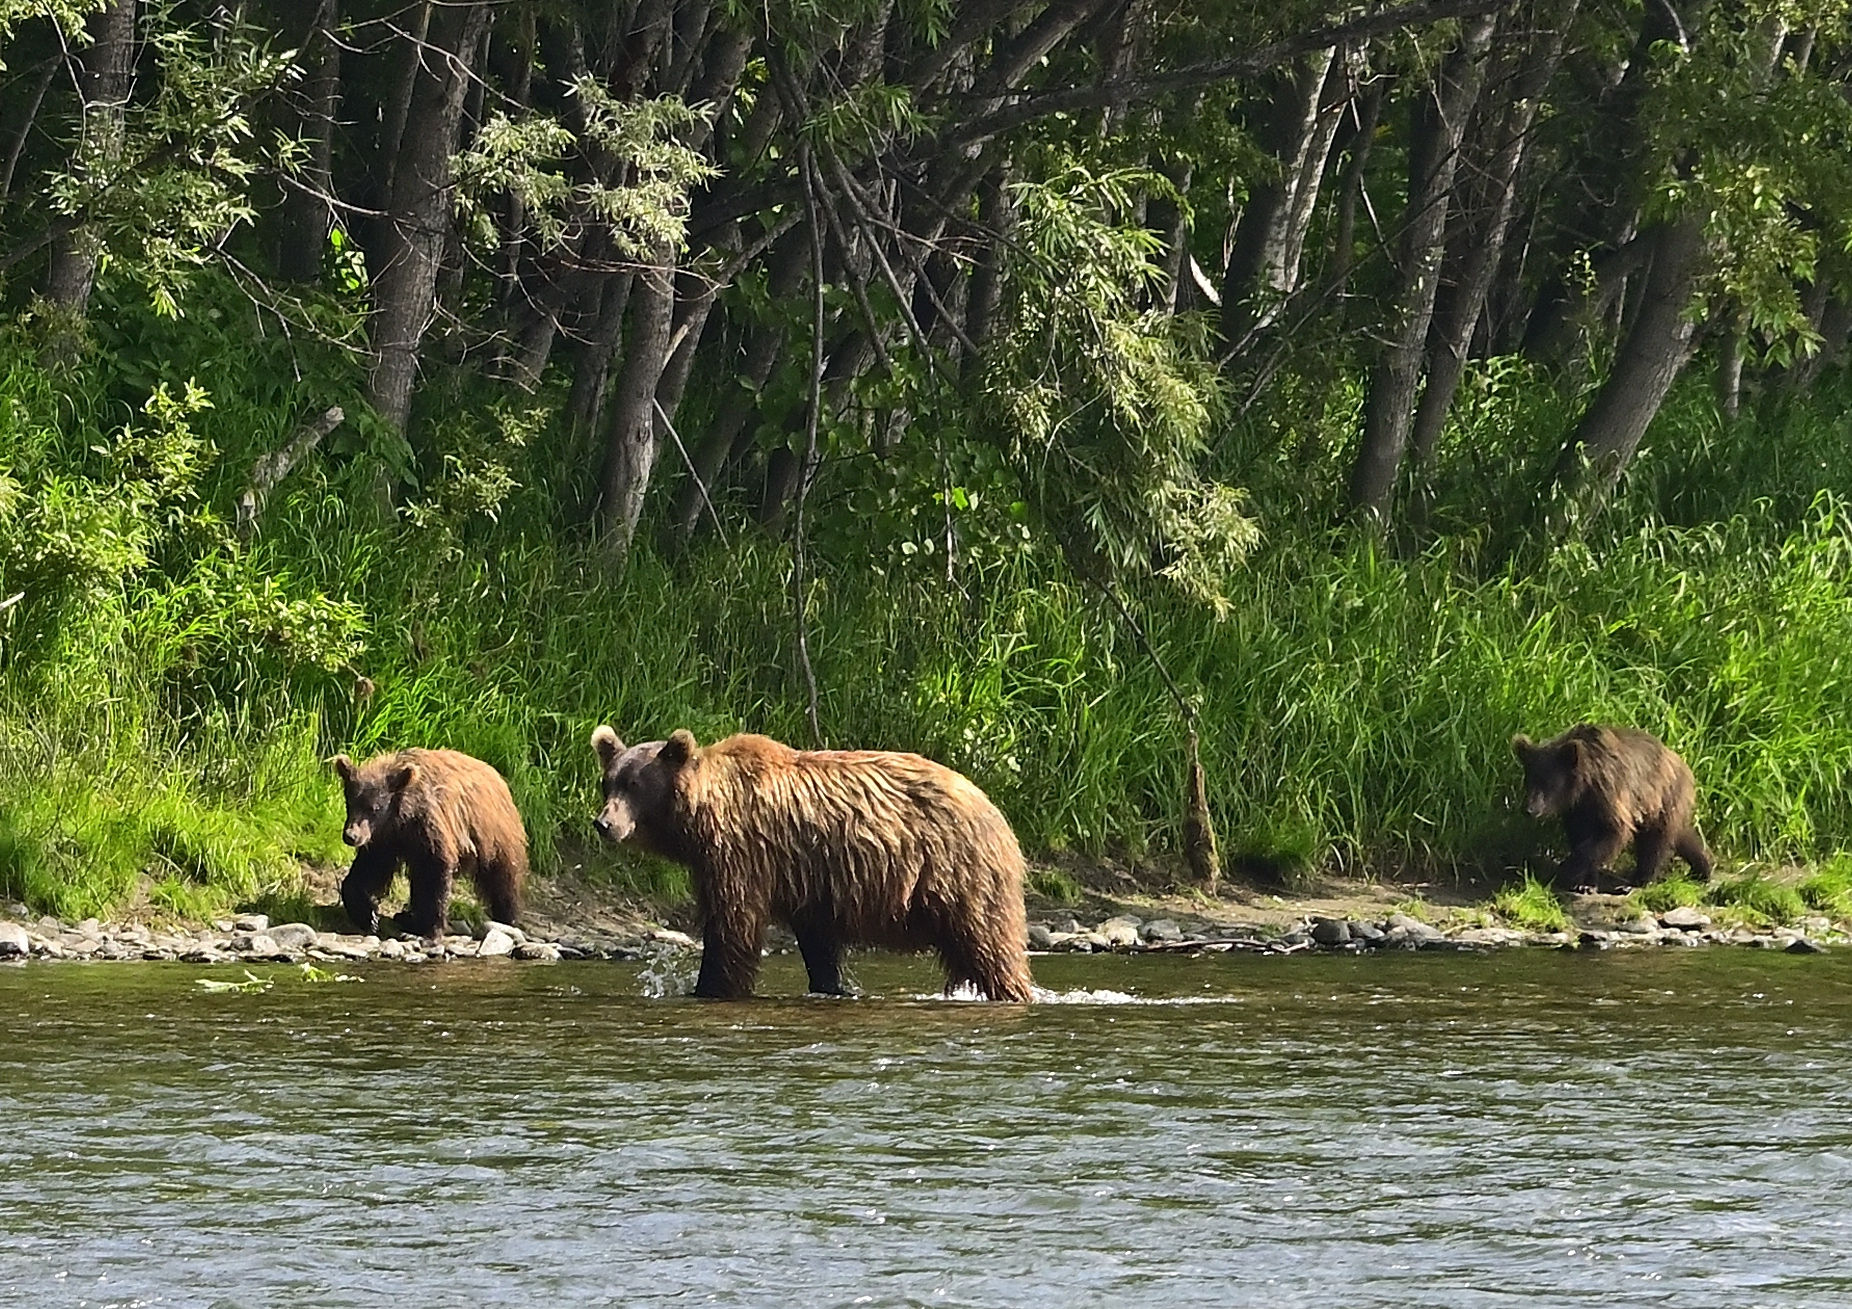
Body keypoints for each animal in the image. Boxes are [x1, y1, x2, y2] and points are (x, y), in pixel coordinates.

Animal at [327, 748, 522, 940]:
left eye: (374, 808)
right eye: (349, 802)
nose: (351, 836)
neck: (401, 817)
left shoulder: (428, 825)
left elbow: (434, 871)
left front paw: (429, 929)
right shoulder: (385, 839)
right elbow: (370, 868)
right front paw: (368, 915)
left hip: (494, 837)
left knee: (502, 879)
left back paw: (507, 918)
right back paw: (406, 917)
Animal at [588, 725, 1037, 1007]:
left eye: (635, 785)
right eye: (607, 782)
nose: (604, 824)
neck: (701, 816)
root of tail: (992, 805)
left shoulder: (743, 855)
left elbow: (733, 928)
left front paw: (711, 986)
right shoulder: (808, 881)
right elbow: (818, 944)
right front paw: (831, 985)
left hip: (960, 872)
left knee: (990, 943)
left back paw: (1012, 990)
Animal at [1511, 722, 1711, 896]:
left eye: (1549, 783)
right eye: (1529, 779)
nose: (1529, 809)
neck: (1584, 783)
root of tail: (1683, 764)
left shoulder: (1608, 791)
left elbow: (1610, 832)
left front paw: (1567, 872)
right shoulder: (1577, 809)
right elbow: (1580, 835)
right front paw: (1585, 883)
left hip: (1663, 796)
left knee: (1654, 841)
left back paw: (1638, 881)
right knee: (1680, 835)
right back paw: (1704, 867)